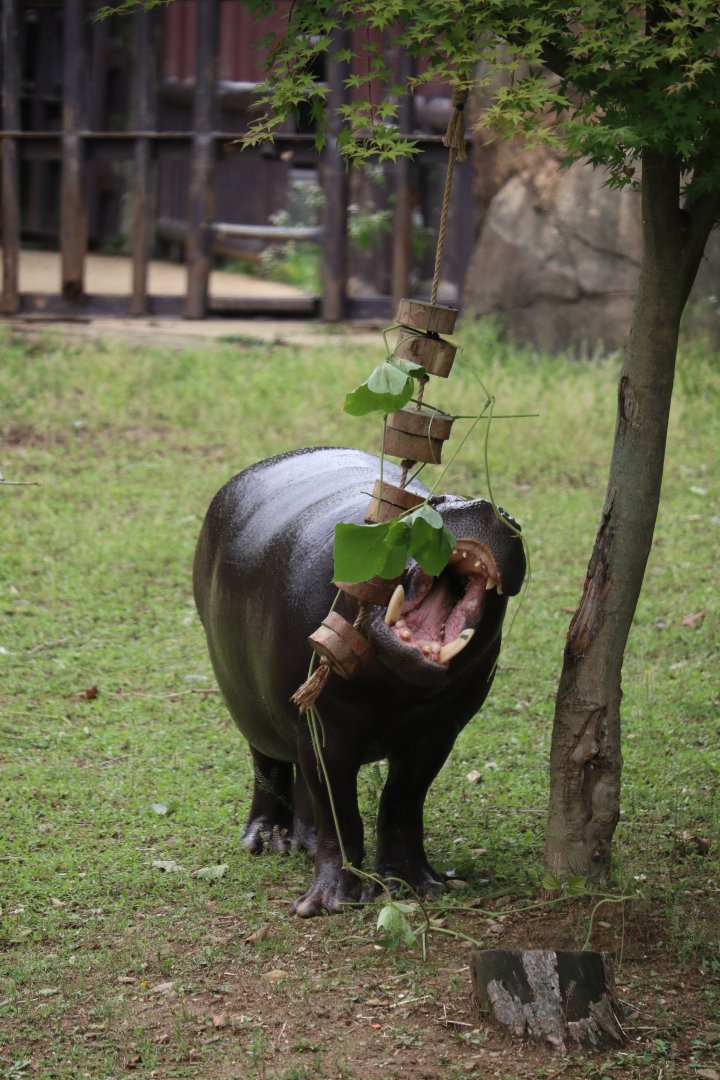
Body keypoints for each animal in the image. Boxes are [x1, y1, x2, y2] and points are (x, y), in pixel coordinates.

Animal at [193, 447, 525, 917]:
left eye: (511, 517)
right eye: (431, 502)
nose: (486, 506)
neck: (394, 685)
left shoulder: (436, 732)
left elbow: (402, 802)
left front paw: (417, 884)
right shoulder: (325, 727)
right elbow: (340, 812)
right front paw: (327, 903)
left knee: (305, 786)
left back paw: (305, 843)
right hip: (249, 703)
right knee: (268, 764)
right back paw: (266, 840)